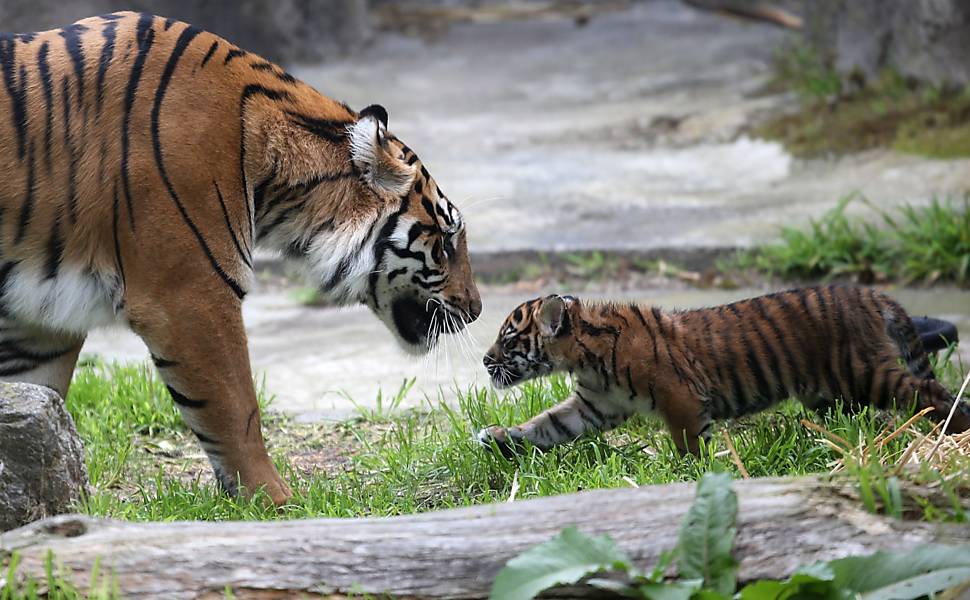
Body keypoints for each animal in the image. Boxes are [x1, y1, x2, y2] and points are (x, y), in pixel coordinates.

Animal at [0, 11, 482, 504]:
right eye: (446, 242)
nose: (477, 309)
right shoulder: (191, 295)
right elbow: (237, 410)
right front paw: (278, 501)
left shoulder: (39, 325)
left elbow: (35, 415)